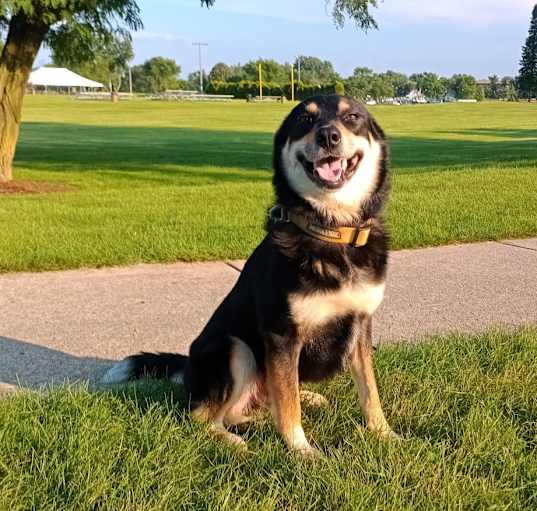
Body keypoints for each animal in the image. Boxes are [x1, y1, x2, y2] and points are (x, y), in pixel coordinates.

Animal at [103, 94, 398, 454]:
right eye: (304, 120)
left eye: (353, 116)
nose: (328, 136)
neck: (332, 231)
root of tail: (188, 369)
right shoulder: (282, 335)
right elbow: (289, 408)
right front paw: (302, 452)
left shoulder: (361, 324)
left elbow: (369, 392)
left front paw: (385, 435)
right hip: (235, 348)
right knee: (202, 416)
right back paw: (234, 441)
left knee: (258, 405)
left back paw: (296, 403)